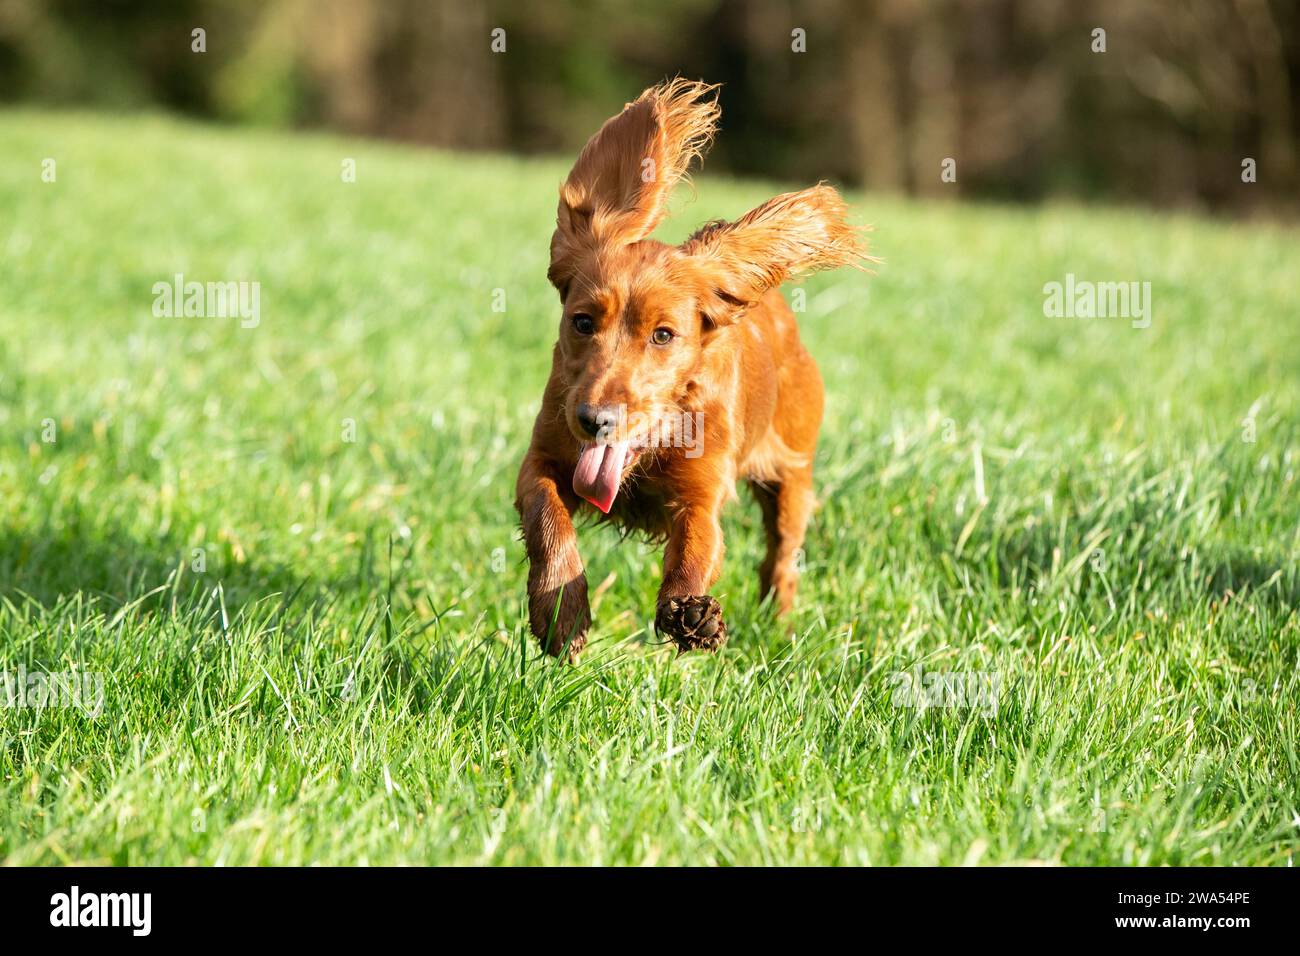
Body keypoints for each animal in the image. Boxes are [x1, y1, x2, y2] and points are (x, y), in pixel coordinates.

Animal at [512, 80, 868, 658]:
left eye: (663, 335)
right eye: (583, 321)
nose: (596, 420)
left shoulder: (703, 488)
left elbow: (697, 544)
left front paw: (691, 614)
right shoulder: (543, 454)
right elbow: (547, 516)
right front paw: (561, 611)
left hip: (792, 476)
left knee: (781, 557)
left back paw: (780, 626)